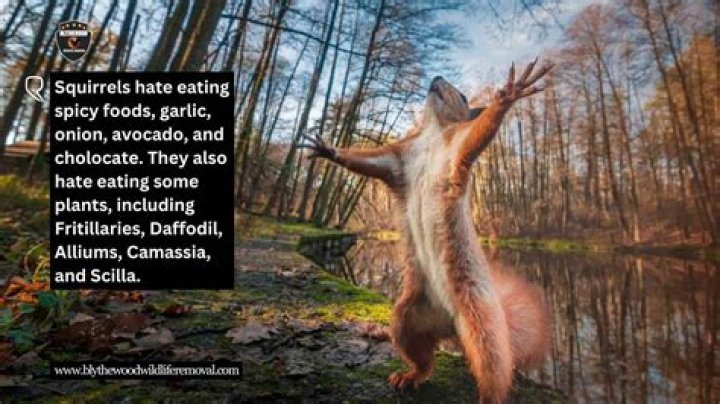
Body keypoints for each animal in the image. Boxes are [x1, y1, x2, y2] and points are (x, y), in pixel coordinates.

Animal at [301, 60, 552, 403]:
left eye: (462, 95)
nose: (437, 77)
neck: (432, 133)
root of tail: (451, 325)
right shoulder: (398, 160)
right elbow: (369, 163)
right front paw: (328, 150)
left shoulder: (457, 149)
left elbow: (479, 134)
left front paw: (508, 96)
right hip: (409, 317)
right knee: (423, 358)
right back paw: (410, 376)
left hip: (482, 323)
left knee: (493, 370)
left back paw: (486, 396)